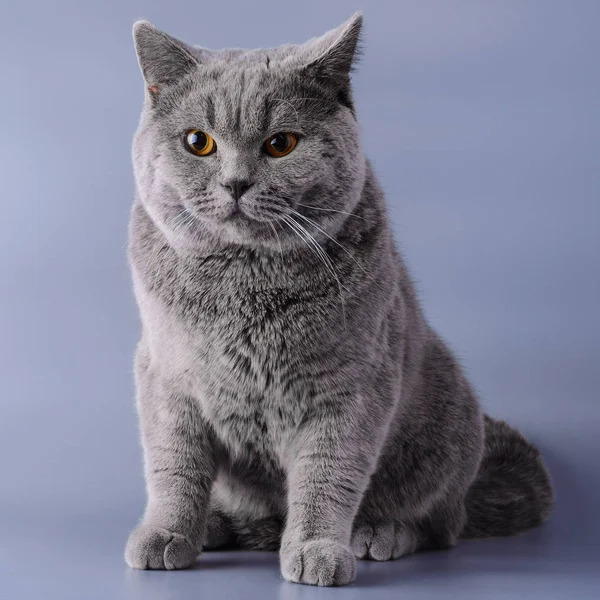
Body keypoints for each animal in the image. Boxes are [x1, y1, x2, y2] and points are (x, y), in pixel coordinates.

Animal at [124, 12, 556, 584]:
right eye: (199, 142)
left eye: (281, 143)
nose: (236, 183)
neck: (243, 284)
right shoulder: (165, 377)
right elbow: (172, 467)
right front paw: (167, 534)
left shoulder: (350, 387)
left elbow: (329, 474)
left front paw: (316, 550)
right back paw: (217, 526)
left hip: (449, 427)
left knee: (439, 522)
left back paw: (379, 533)